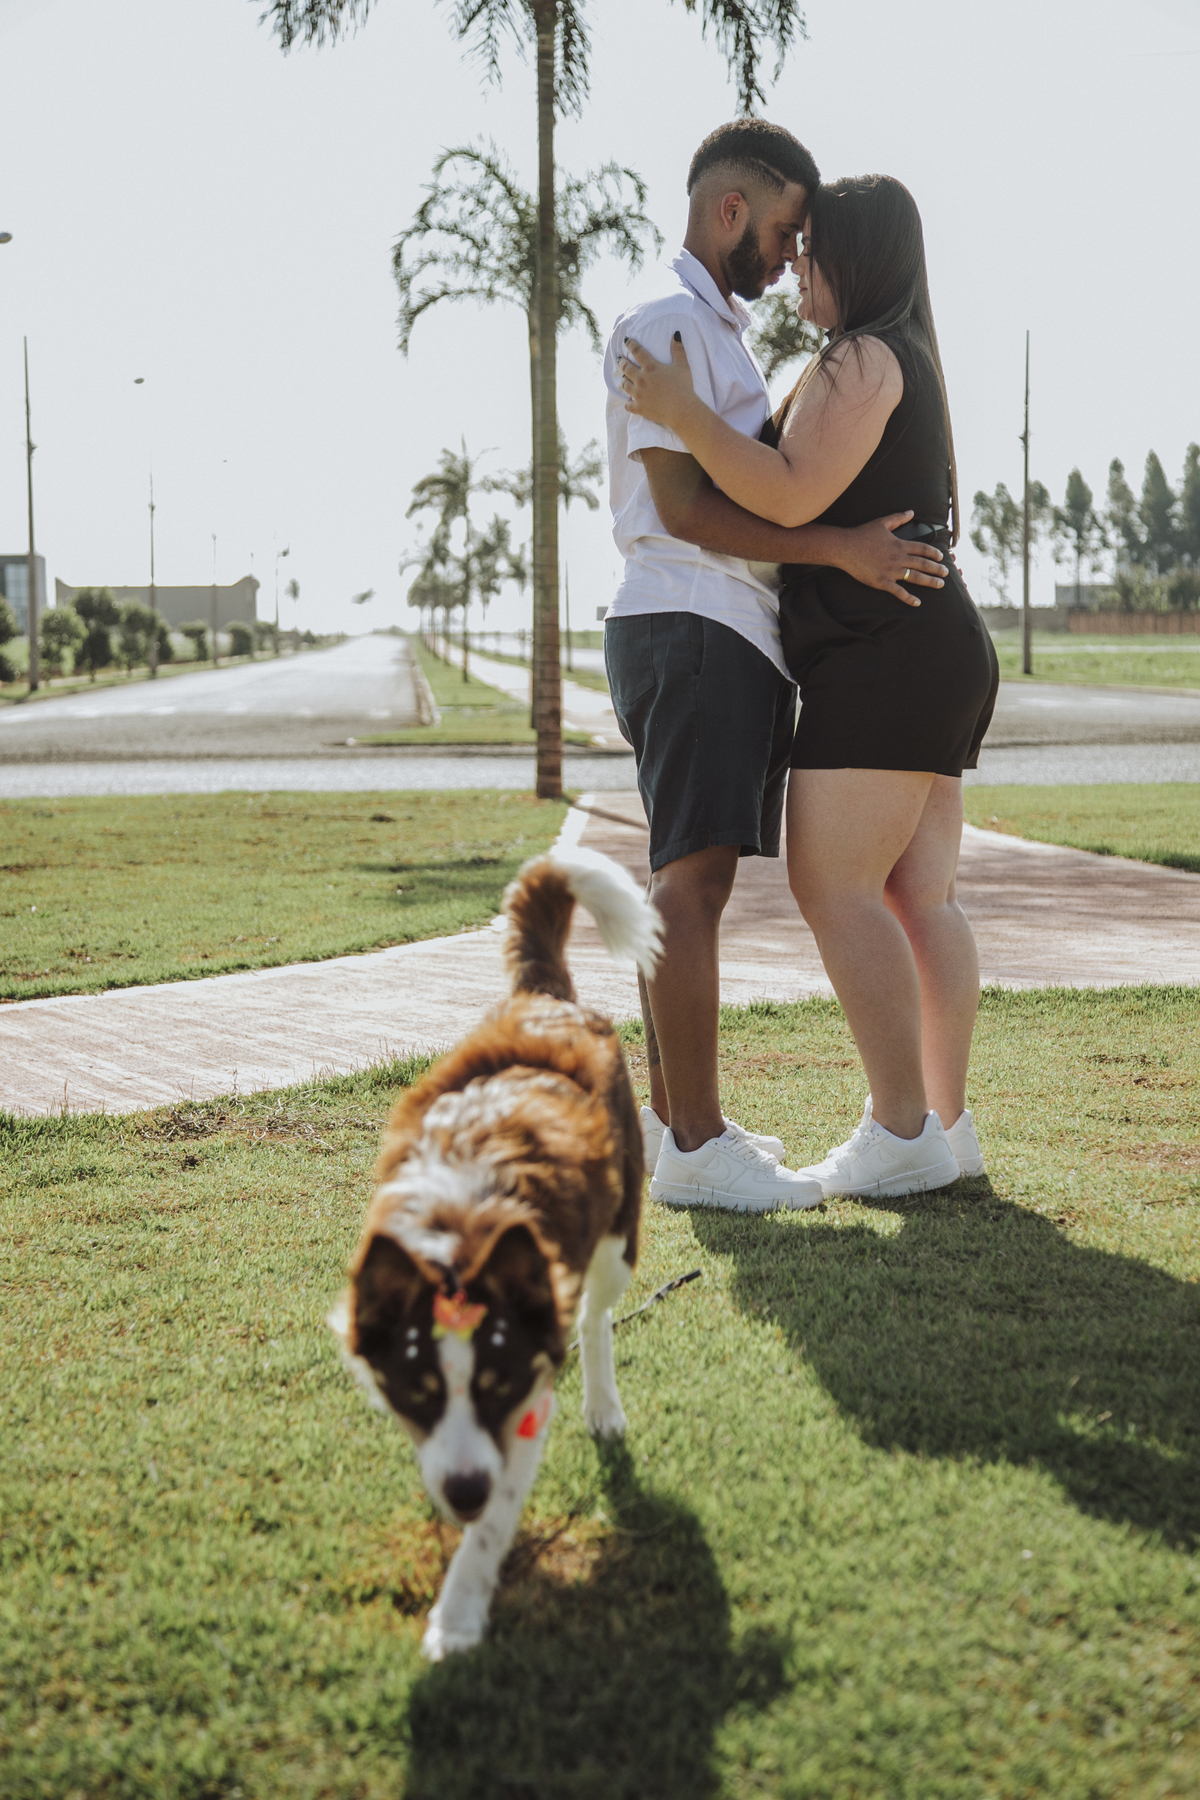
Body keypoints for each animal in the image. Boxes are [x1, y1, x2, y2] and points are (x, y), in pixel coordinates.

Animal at [328, 844, 662, 1659]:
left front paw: (458, 1614)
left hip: (618, 1241)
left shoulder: (527, 1394)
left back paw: (603, 1403)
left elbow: (496, 1519)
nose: (464, 1492)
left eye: (496, 1384)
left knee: (596, 1320)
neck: (458, 1231)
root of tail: (546, 997)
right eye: (417, 1390)